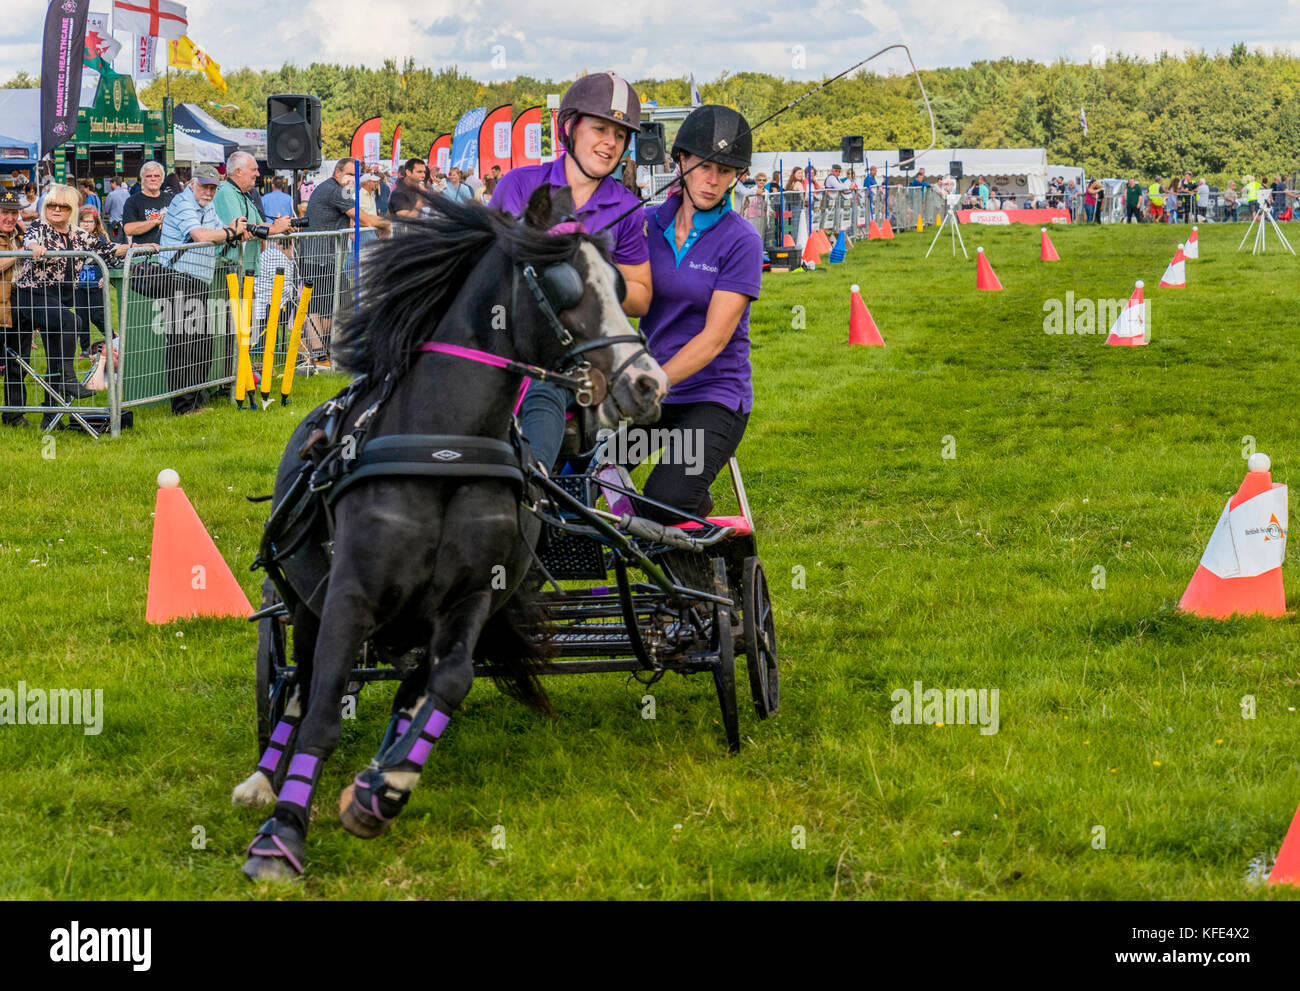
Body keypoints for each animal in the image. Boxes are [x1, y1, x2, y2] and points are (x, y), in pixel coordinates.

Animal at [230, 184, 670, 879]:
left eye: (623, 284)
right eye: (565, 283)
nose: (648, 383)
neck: (444, 444)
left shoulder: (471, 597)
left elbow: (451, 680)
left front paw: (383, 788)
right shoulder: (349, 595)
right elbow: (322, 708)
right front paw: (280, 835)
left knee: (411, 684)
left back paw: (381, 768)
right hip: (303, 601)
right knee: (297, 680)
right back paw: (264, 779)